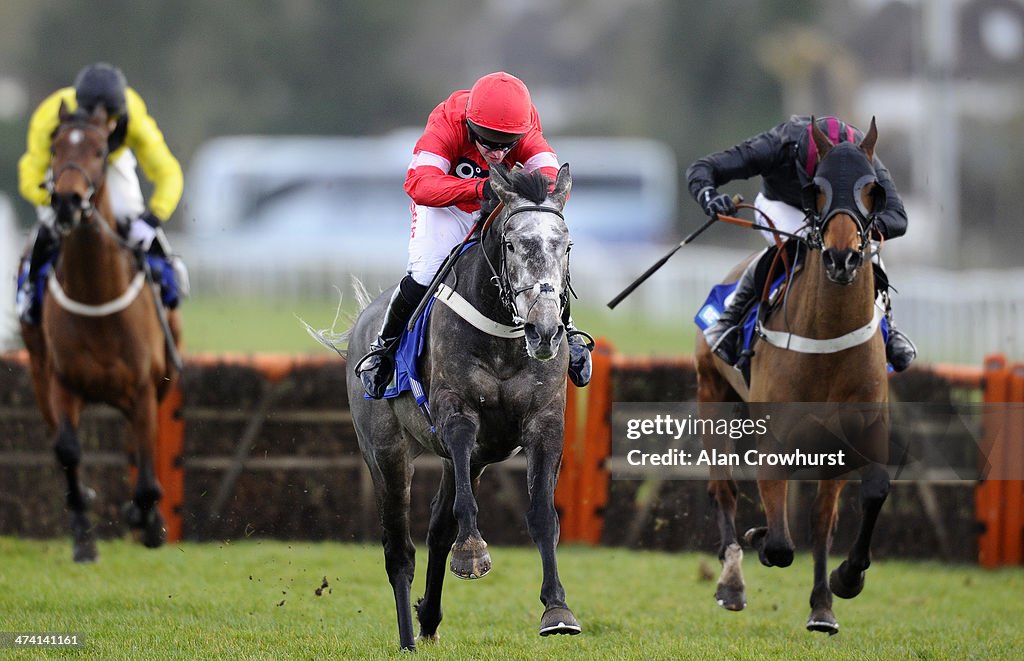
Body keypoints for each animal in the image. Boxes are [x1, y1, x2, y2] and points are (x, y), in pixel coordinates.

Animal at [20, 103, 183, 564]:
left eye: (98, 151)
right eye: (56, 148)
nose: (67, 201)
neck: (96, 296)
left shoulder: (145, 387)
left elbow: (146, 462)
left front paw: (150, 522)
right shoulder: (62, 383)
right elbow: (68, 449)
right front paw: (84, 537)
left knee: (139, 442)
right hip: (38, 373)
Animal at [348, 162, 581, 650]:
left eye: (565, 245)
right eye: (512, 243)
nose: (545, 330)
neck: (505, 337)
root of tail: (363, 320)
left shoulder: (545, 423)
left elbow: (541, 514)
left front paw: (557, 609)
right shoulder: (457, 415)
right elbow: (463, 508)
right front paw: (472, 553)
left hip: (472, 461)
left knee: (438, 528)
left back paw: (429, 618)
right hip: (386, 452)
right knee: (399, 549)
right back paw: (407, 639)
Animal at [700, 119, 892, 638]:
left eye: (874, 189)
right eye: (816, 190)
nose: (843, 258)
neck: (826, 338)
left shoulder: (859, 428)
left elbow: (867, 495)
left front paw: (843, 582)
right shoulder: (775, 436)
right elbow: (781, 544)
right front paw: (762, 539)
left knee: (820, 516)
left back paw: (822, 604)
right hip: (713, 394)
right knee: (723, 486)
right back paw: (732, 580)